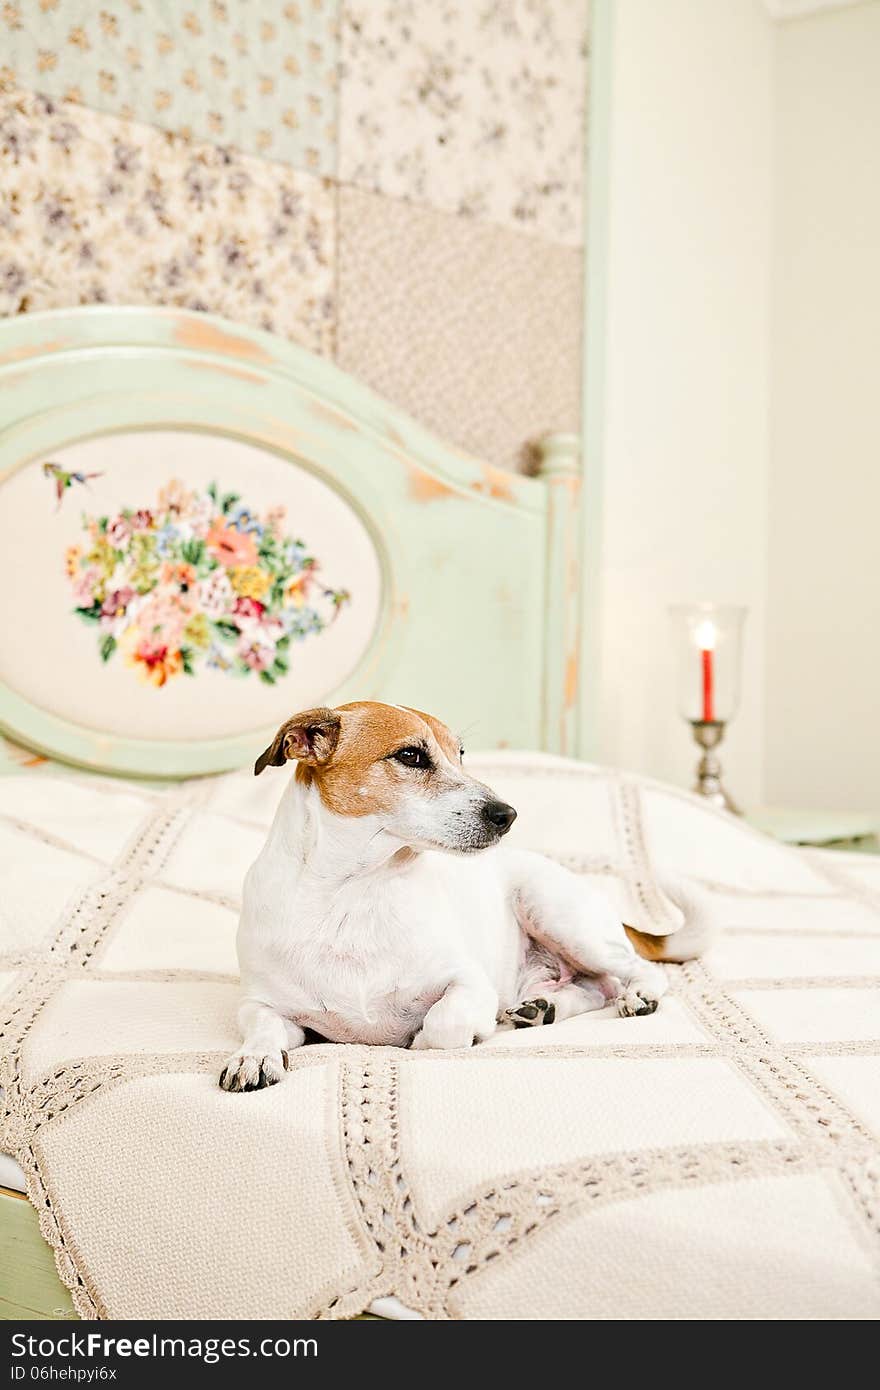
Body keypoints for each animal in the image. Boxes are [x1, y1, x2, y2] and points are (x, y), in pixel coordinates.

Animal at [219, 700, 706, 1089]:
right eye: (411, 755)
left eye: (461, 754)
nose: (508, 814)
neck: (354, 893)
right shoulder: (261, 1004)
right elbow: (261, 1026)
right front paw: (254, 1057)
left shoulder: (468, 984)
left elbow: (442, 1025)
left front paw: (435, 1036)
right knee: (594, 987)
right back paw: (542, 1006)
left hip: (558, 915)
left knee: (634, 970)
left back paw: (638, 995)